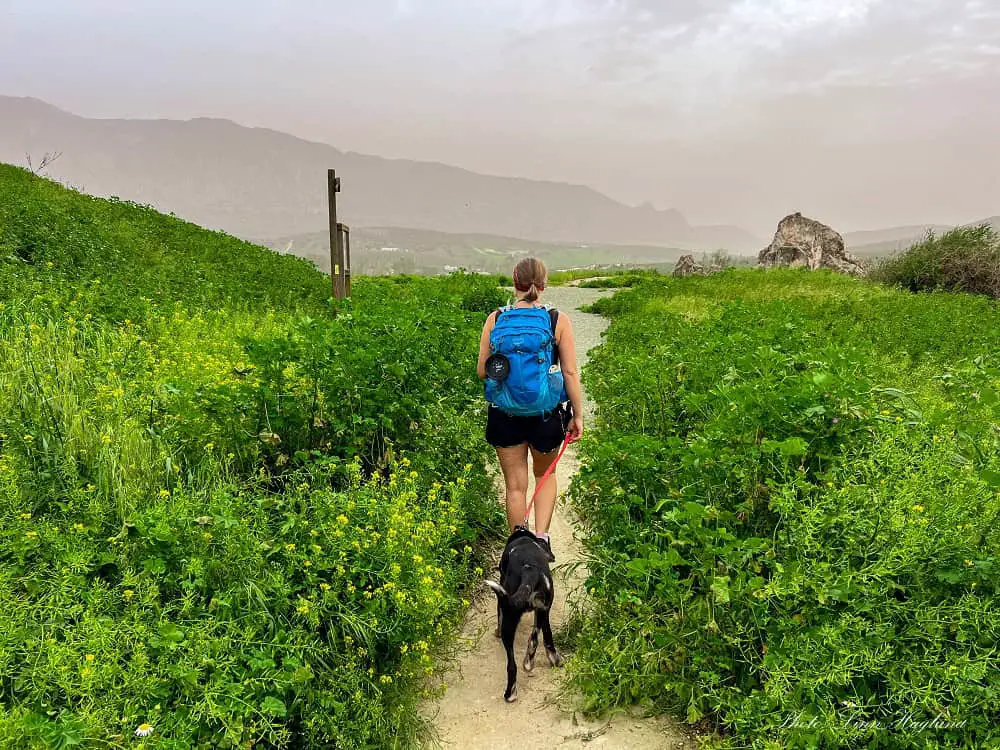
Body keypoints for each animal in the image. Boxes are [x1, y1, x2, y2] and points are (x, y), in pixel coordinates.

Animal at [484, 528, 564, 704]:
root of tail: (529, 570)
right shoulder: (543, 610)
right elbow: (547, 635)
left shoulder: (502, 602)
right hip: (539, 610)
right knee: (533, 642)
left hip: (510, 617)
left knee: (512, 664)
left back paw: (510, 693)